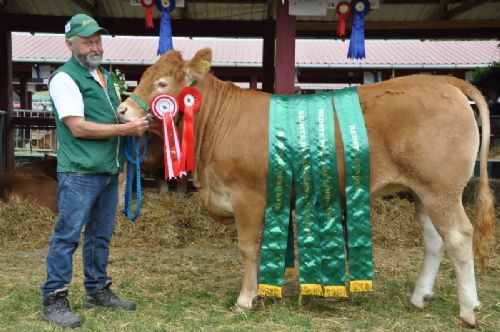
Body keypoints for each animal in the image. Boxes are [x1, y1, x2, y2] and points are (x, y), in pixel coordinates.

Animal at [117, 49, 496, 326]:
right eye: (143, 77)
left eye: (161, 83)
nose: (122, 110)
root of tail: (443, 84)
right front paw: (259, 291)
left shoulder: (248, 196)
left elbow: (248, 248)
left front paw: (245, 298)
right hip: (422, 192)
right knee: (434, 240)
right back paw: (421, 297)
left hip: (441, 190)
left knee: (459, 237)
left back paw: (468, 310)